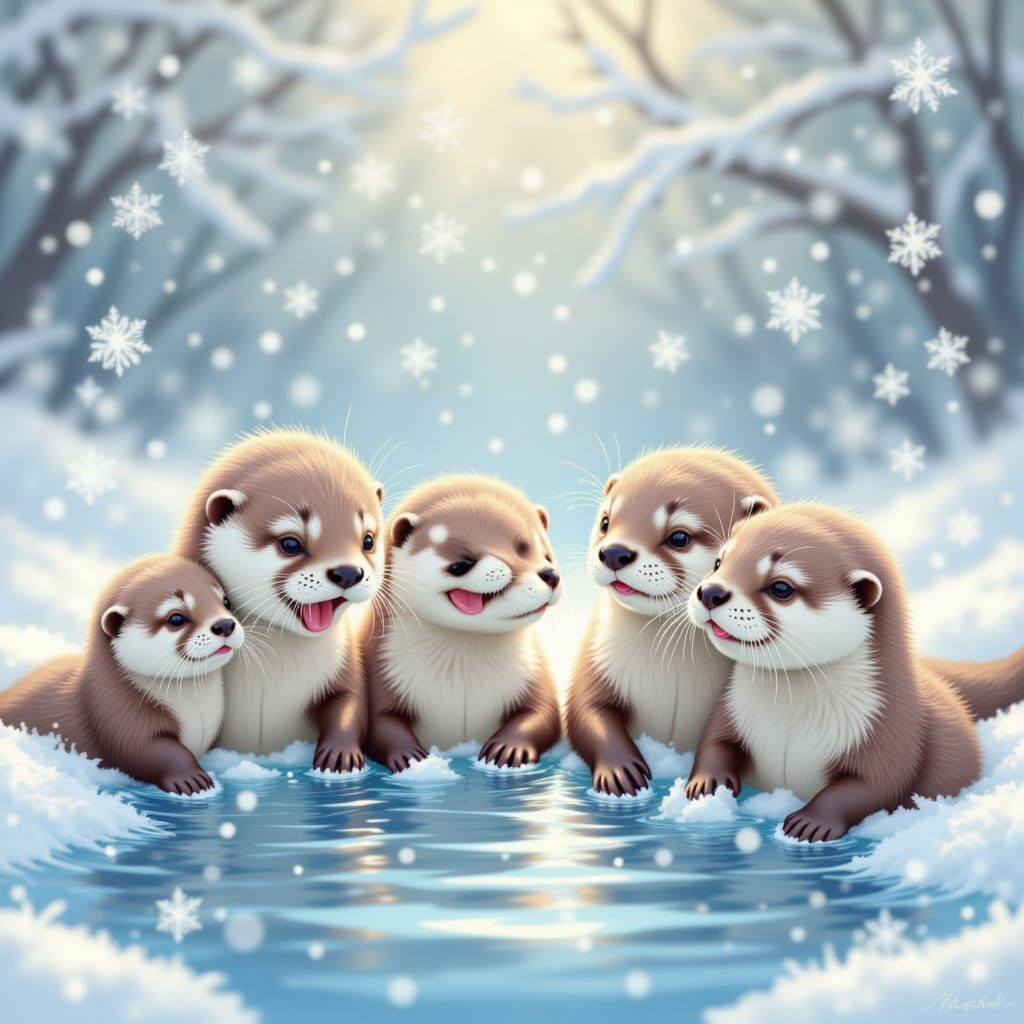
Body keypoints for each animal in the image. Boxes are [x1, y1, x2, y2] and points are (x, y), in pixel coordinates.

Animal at [0, 555, 243, 793]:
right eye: (176, 619)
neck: (197, 713)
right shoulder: (117, 716)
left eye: (226, 602)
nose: (224, 624)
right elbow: (151, 752)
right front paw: (193, 779)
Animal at [173, 428, 384, 769]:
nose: (348, 572)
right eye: (290, 544)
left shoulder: (346, 666)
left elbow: (350, 703)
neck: (275, 679)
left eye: (368, 540)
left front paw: (339, 754)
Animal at [364, 475, 562, 772]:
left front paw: (508, 749)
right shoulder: (381, 670)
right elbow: (379, 723)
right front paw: (412, 758)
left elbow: (543, 714)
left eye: (546, 555)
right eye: (462, 564)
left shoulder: (534, 674)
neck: (463, 677)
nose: (550, 575)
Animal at [565, 447, 777, 796]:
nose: (614, 552)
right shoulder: (596, 660)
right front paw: (621, 770)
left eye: (679, 537)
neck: (669, 674)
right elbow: (586, 711)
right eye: (606, 521)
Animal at [685, 502, 1024, 841]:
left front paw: (809, 823)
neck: (790, 723)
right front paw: (705, 783)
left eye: (781, 587)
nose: (711, 591)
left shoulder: (890, 730)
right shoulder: (730, 709)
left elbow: (871, 785)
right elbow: (713, 743)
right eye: (719, 562)